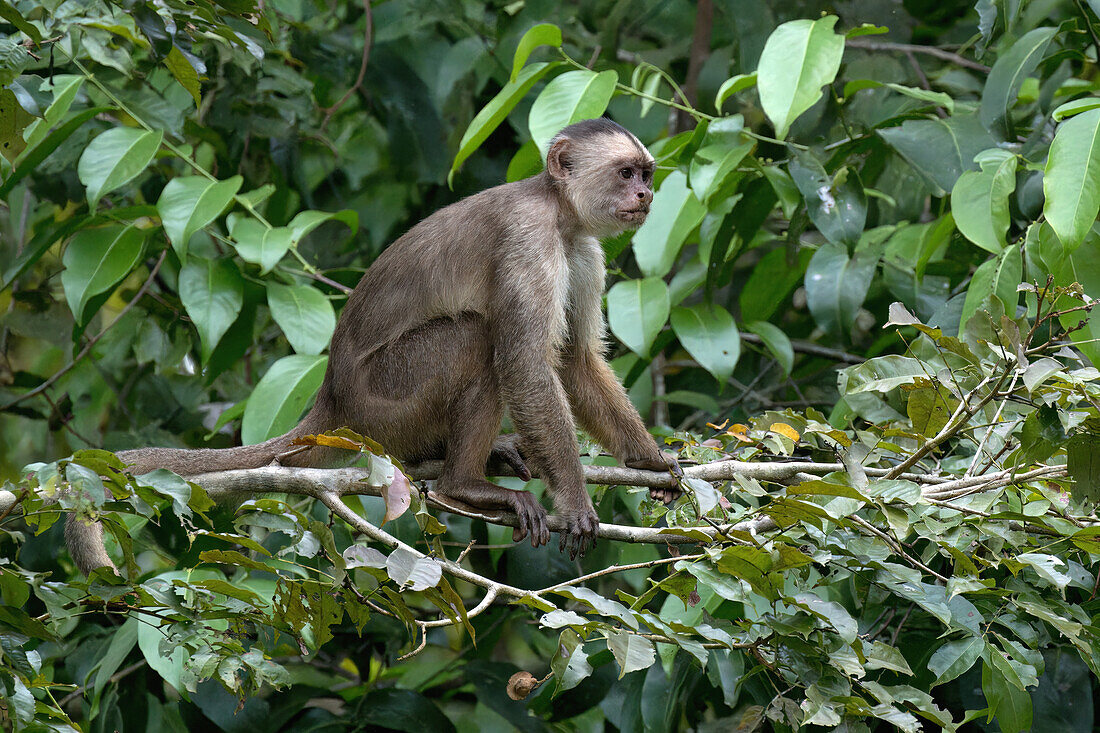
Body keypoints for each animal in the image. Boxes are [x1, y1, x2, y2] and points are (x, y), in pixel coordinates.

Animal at [68, 119, 677, 572]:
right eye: (626, 173)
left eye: (646, 174)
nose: (646, 195)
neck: (560, 214)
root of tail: (332, 400)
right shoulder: (529, 238)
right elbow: (525, 365)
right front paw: (574, 502)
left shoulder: (584, 249)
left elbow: (575, 361)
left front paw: (650, 461)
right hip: (384, 402)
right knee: (476, 338)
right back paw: (462, 486)